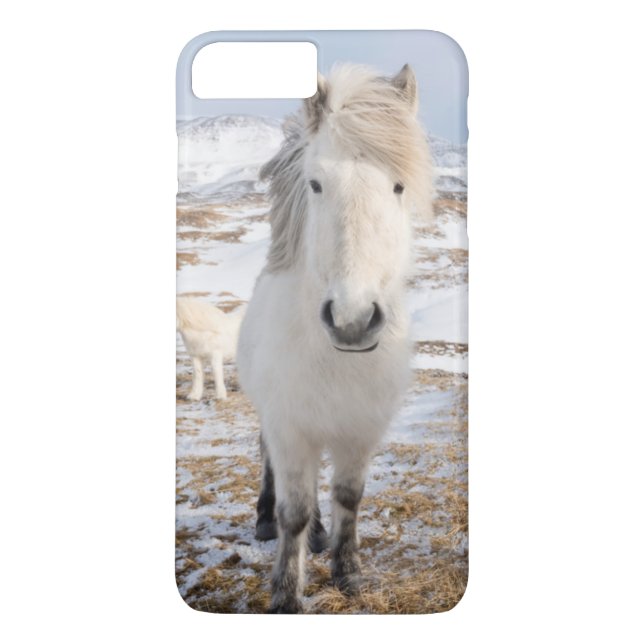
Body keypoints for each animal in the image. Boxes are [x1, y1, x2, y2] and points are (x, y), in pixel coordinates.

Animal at [237, 63, 434, 613]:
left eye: (398, 186)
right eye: (316, 184)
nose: (352, 319)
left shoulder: (359, 431)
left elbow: (348, 497)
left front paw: (349, 572)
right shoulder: (289, 429)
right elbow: (294, 512)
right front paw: (286, 595)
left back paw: (323, 537)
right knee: (271, 470)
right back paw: (265, 521)